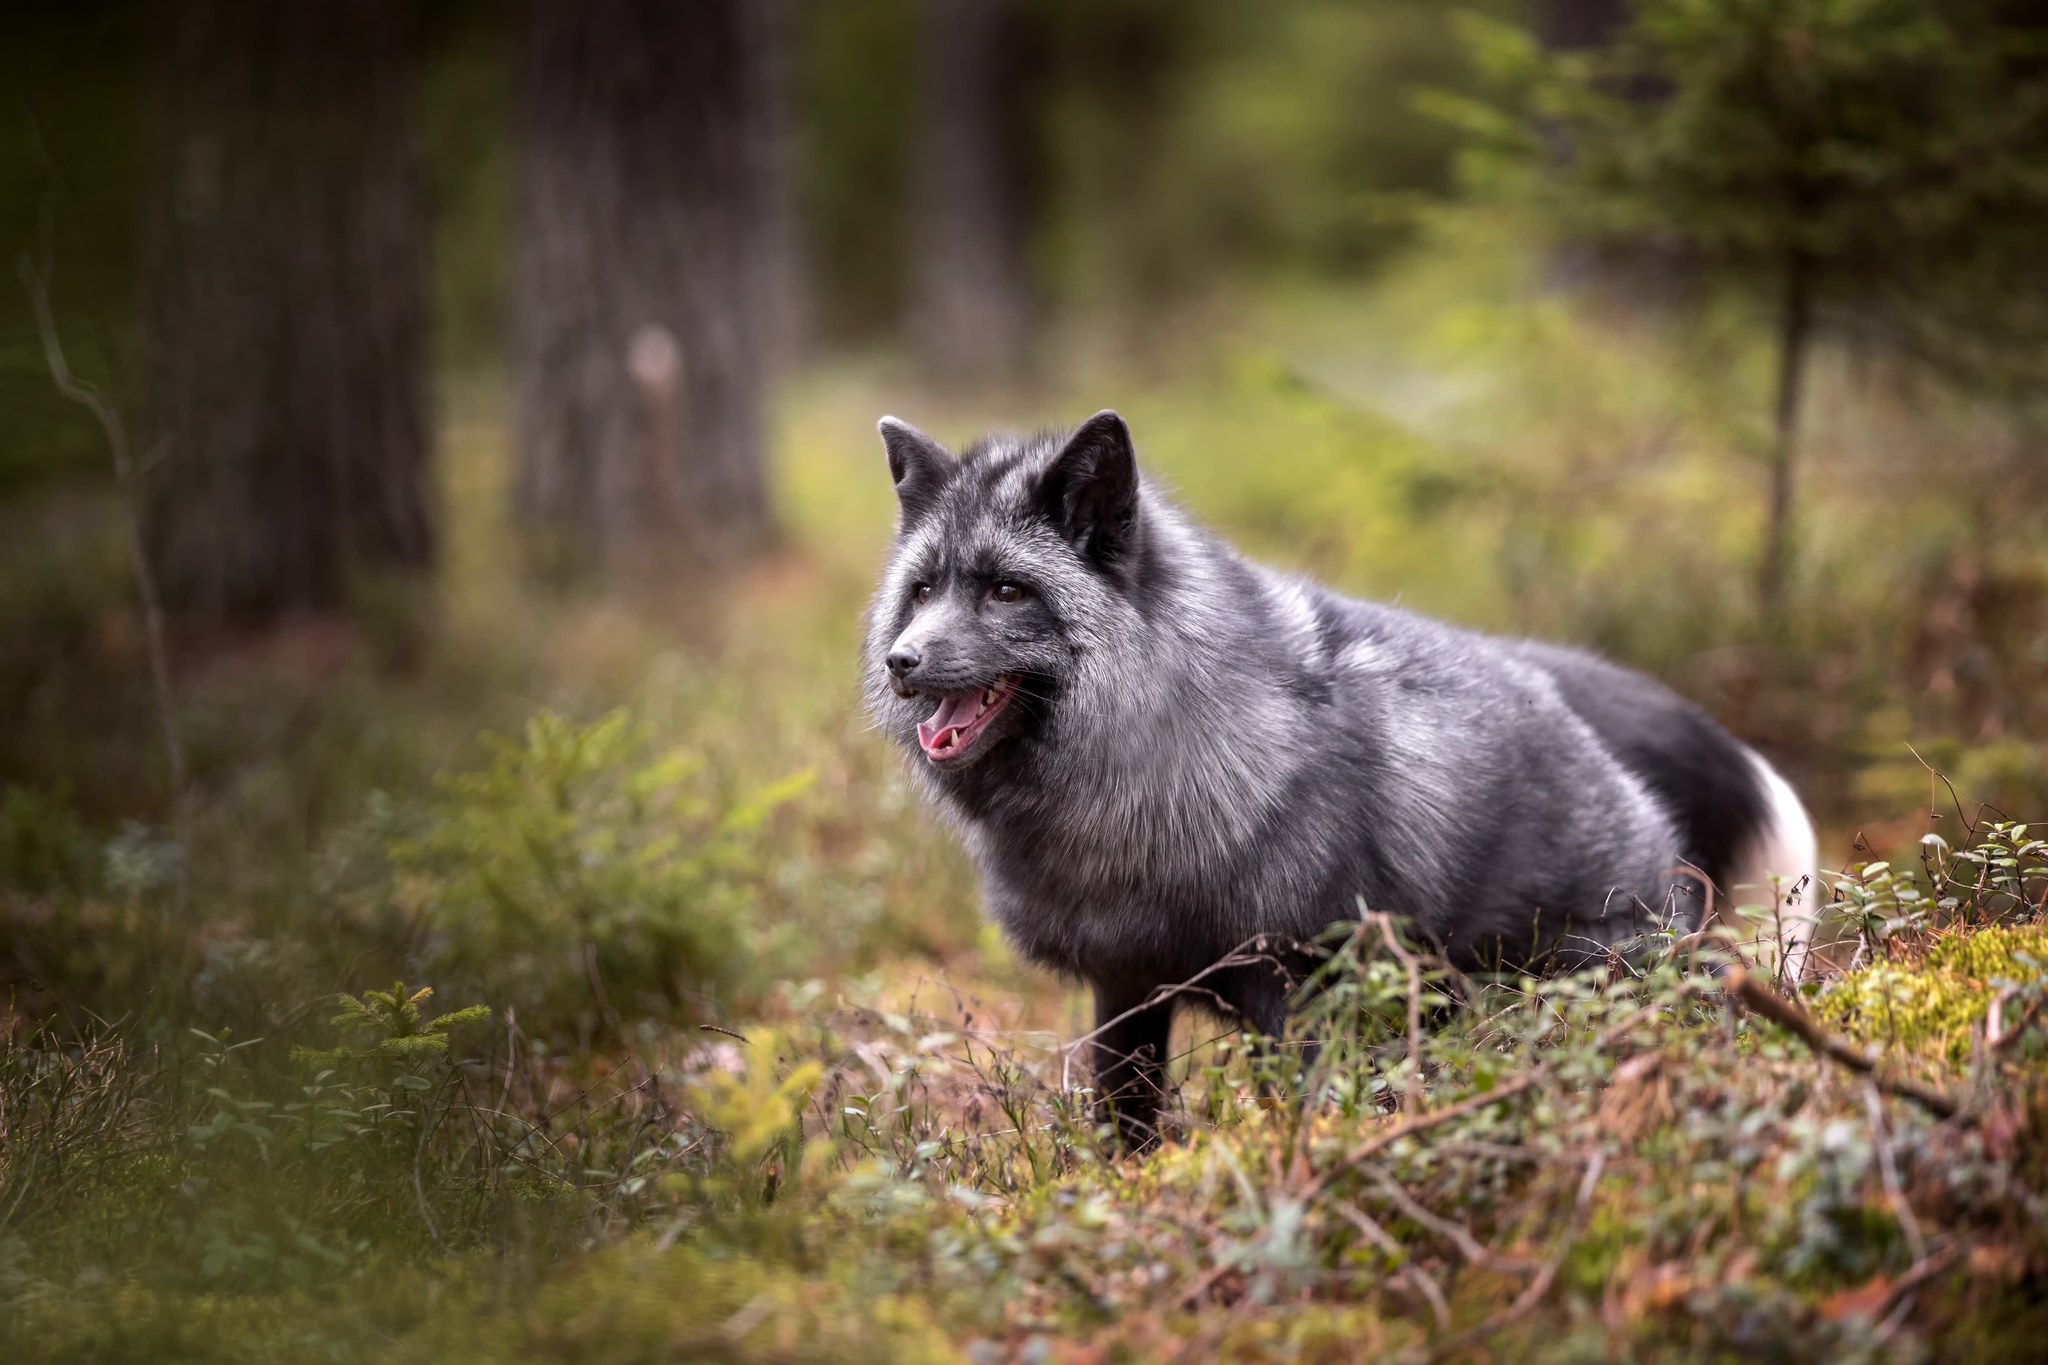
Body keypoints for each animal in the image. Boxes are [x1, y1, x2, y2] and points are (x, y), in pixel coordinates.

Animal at [864, 411, 1826, 1146]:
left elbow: (1304, 1115)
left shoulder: (1298, 987)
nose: (901, 660)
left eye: (1007, 591)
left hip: (1591, 974)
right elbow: (1123, 1126)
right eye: (924, 590)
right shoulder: (1127, 985)